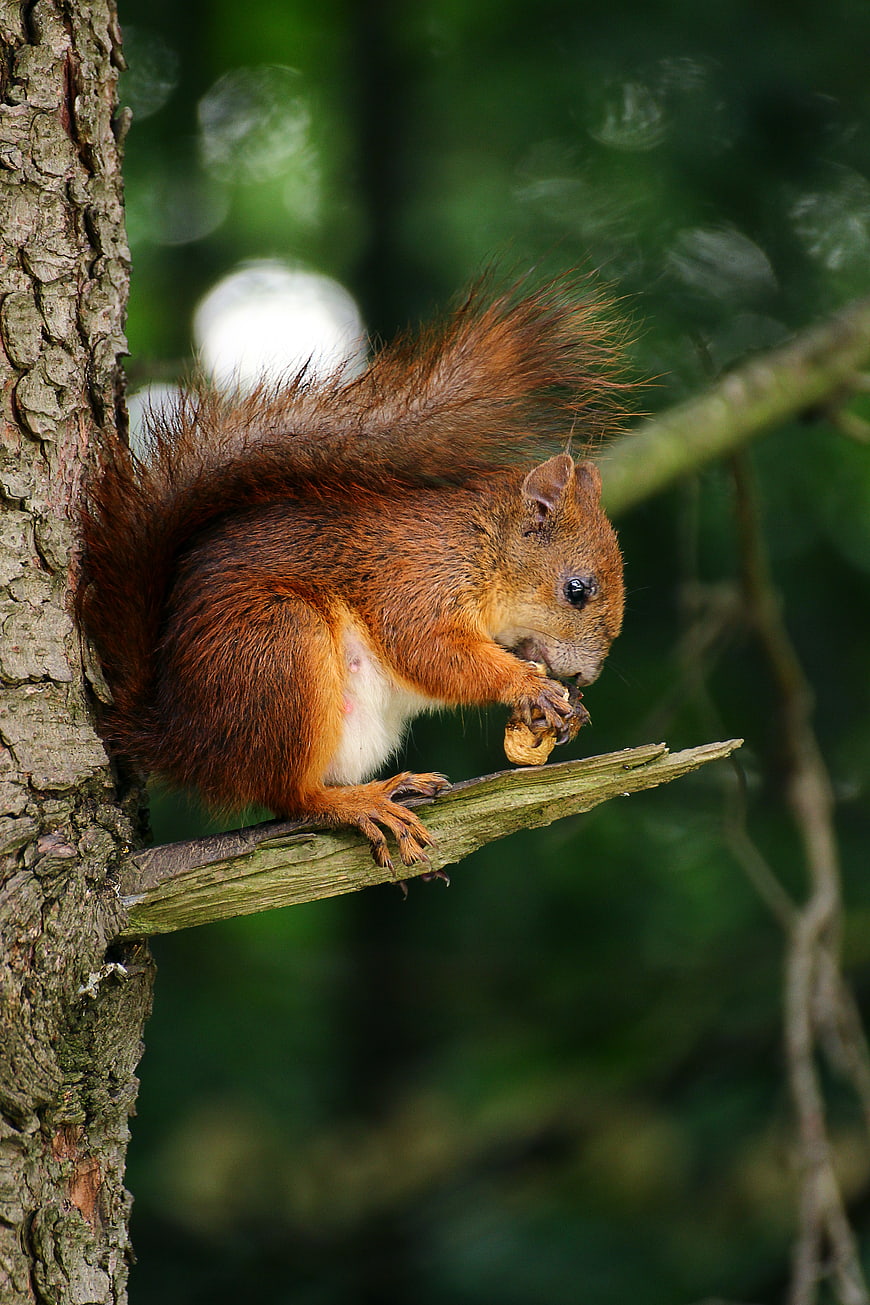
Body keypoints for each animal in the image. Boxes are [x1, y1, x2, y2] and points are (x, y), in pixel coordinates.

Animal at [76, 279, 628, 871]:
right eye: (576, 590)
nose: (587, 676)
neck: (481, 544)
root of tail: (179, 738)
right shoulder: (416, 579)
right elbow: (430, 651)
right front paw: (529, 685)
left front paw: (572, 710)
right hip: (279, 650)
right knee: (291, 797)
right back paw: (361, 802)